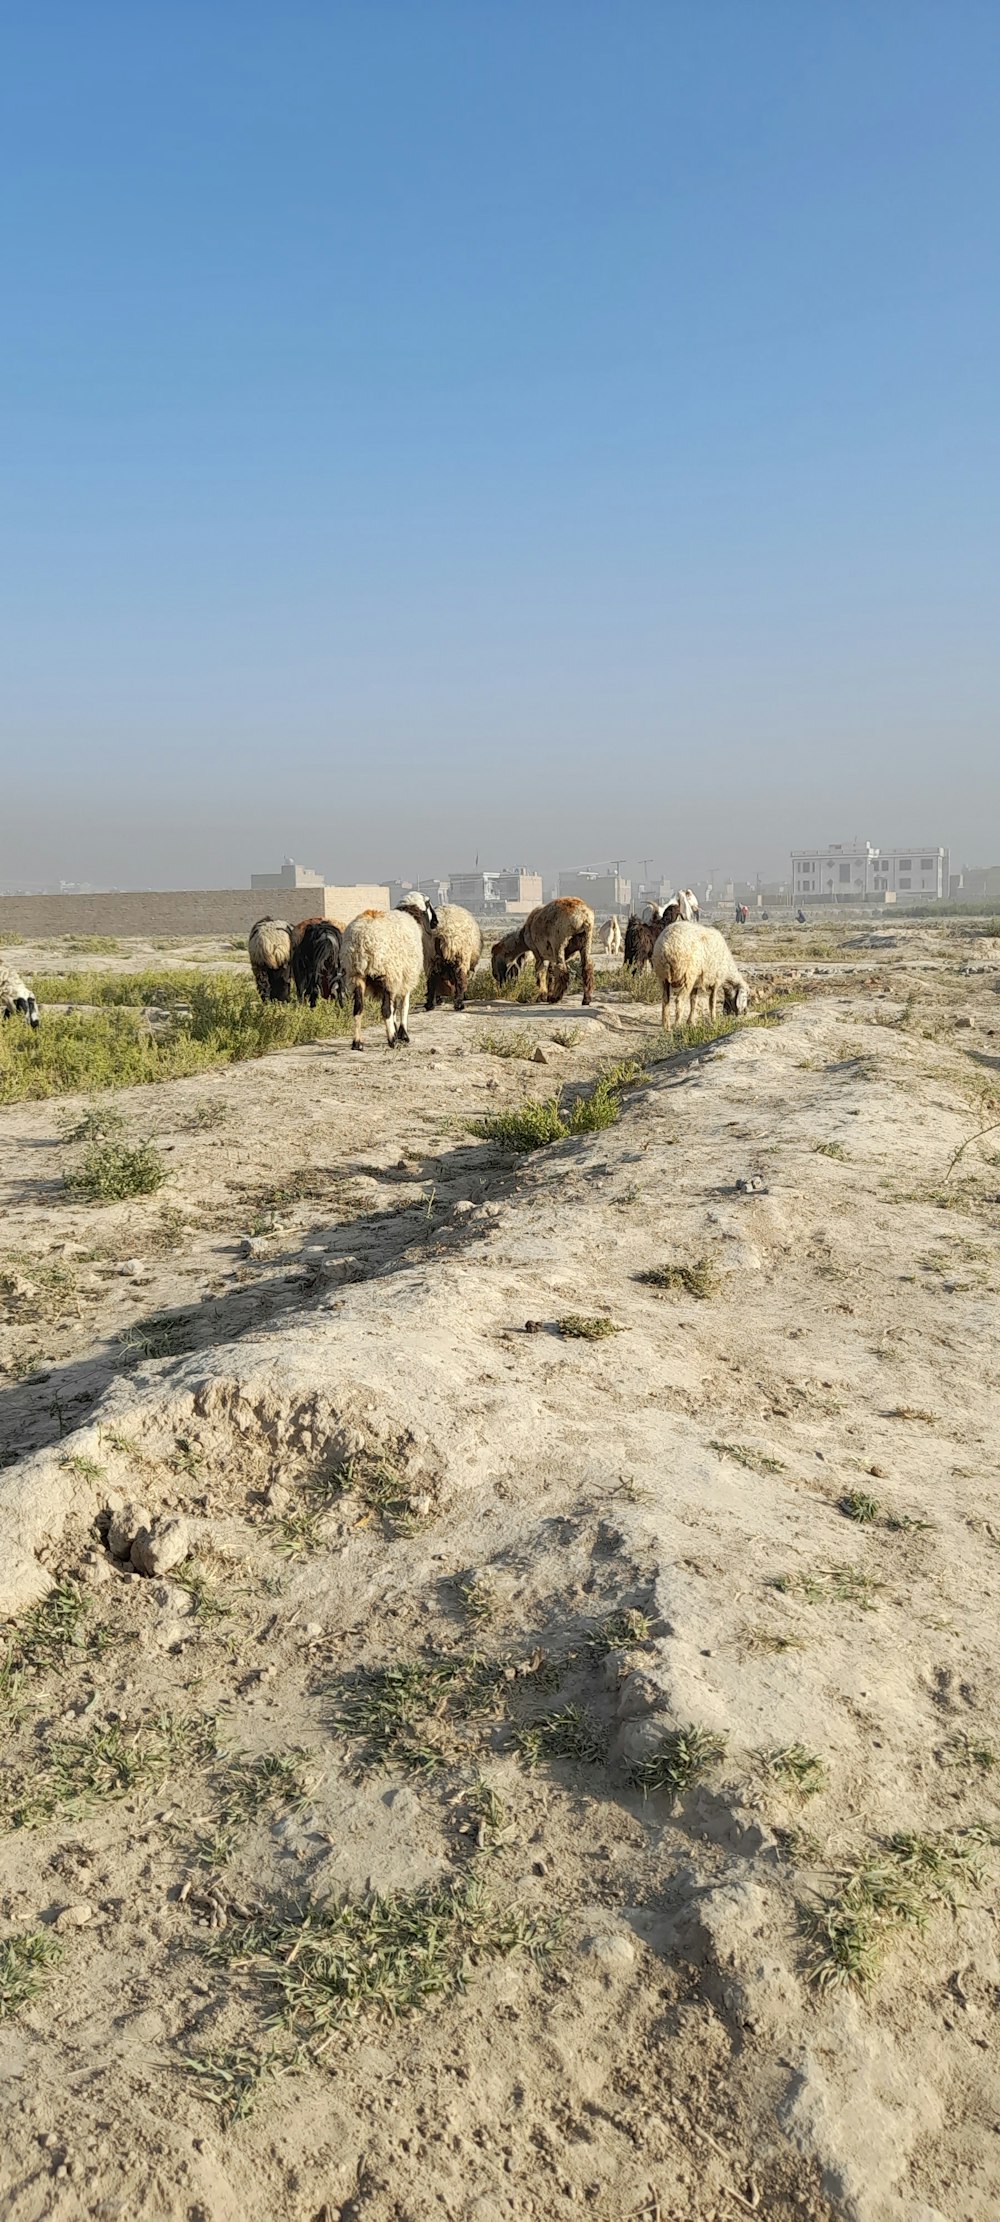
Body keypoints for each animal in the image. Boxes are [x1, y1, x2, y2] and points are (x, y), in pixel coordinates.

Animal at [337, 902, 424, 1048]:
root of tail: (363, 939)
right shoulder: (405, 979)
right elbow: (403, 1006)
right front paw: (403, 1035)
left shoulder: (397, 982)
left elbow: (395, 1007)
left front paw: (397, 1031)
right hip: (386, 974)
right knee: (385, 1010)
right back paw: (392, 1040)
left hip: (356, 975)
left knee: (358, 1008)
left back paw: (357, 1043)